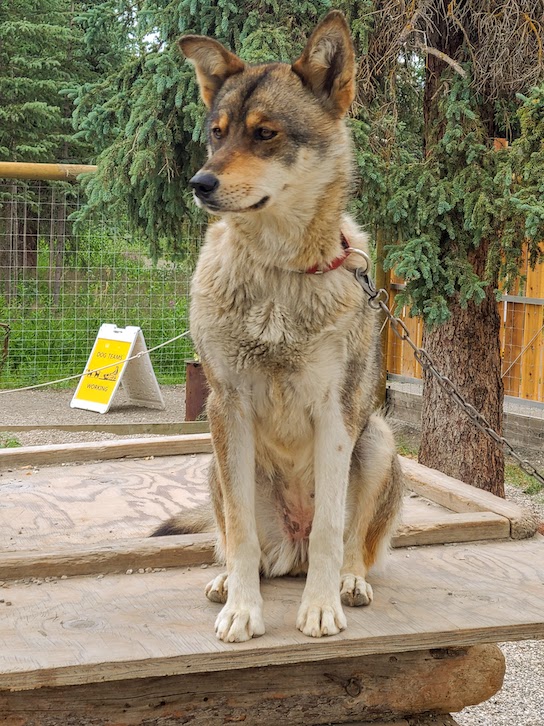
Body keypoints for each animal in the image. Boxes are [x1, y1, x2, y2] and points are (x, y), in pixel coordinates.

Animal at [153, 9, 404, 644]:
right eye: (217, 133)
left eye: (265, 133)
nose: (199, 184)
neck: (278, 271)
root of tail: (289, 547)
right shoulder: (227, 407)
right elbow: (240, 531)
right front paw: (243, 609)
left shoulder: (336, 414)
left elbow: (332, 530)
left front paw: (319, 609)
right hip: (214, 463)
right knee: (240, 539)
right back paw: (228, 580)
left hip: (378, 440)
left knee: (349, 544)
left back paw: (349, 581)